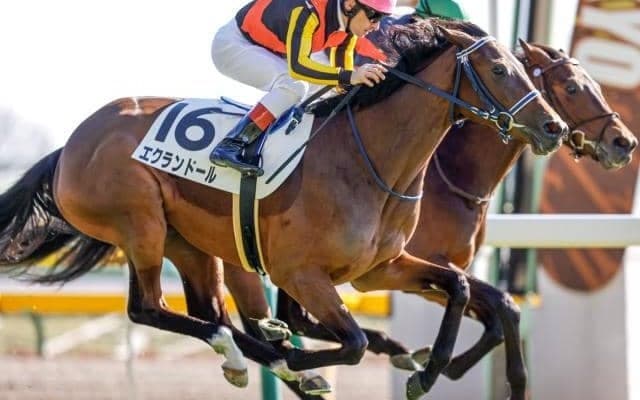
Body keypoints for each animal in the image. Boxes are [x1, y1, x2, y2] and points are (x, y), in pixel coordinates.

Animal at [0, 19, 566, 399]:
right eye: (500, 69)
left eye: (524, 70)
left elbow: (460, 287)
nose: (554, 127)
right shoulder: (302, 273)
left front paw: (429, 369)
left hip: (191, 245)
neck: (369, 161)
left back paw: (257, 356)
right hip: (140, 223)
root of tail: (70, 146)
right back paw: (273, 356)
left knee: (209, 312)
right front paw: (305, 355)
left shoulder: (381, 267)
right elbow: (353, 340)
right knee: (150, 308)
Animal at [220, 38, 637, 399]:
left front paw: (434, 362)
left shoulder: (420, 268)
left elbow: (496, 312)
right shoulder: (408, 266)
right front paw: (434, 365)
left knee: (292, 318)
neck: (456, 179)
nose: (624, 142)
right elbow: (501, 304)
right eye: (571, 87)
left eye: (595, 84)